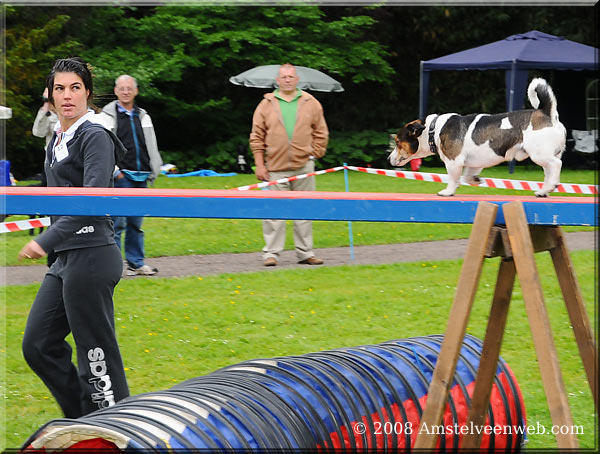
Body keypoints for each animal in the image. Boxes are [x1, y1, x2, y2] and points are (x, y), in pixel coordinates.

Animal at [390, 77, 568, 197]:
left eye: (398, 142)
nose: (388, 159)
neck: (433, 129)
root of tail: (546, 113)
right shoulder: (474, 164)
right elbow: (467, 177)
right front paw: (477, 180)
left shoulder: (454, 162)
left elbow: (453, 179)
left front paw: (448, 192)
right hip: (544, 156)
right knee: (549, 171)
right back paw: (544, 191)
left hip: (539, 154)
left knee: (557, 164)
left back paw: (550, 186)